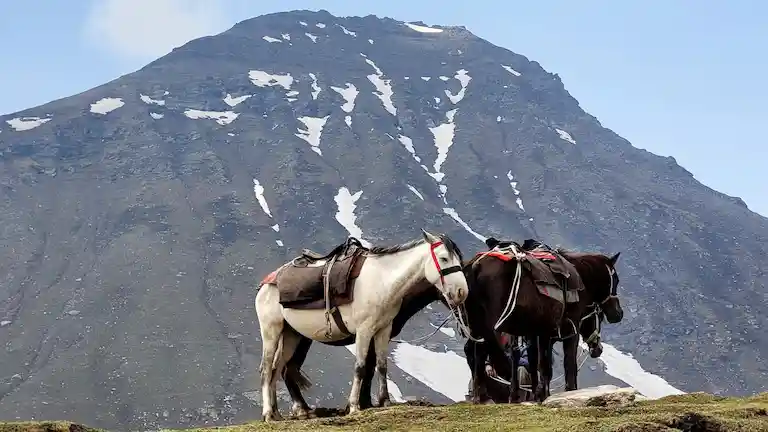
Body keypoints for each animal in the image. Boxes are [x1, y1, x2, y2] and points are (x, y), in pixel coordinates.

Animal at [254, 229, 468, 421]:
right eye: (444, 259)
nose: (462, 292)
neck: (383, 281)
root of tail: (268, 283)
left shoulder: (383, 330)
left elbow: (382, 365)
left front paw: (384, 402)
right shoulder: (364, 330)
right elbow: (361, 367)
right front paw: (355, 406)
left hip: (292, 335)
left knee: (277, 369)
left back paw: (278, 413)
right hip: (272, 331)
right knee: (268, 369)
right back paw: (270, 413)